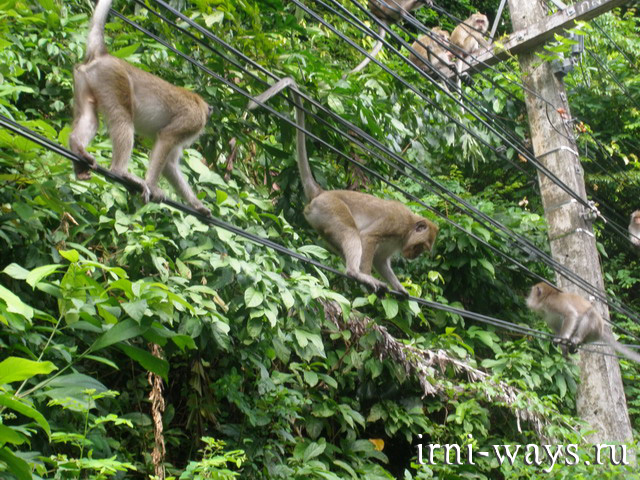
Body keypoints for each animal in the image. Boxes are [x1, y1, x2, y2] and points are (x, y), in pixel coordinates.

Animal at [69, 0, 211, 216]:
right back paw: (120, 171)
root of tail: (104, 55)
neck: (199, 104)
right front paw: (152, 186)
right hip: (113, 78)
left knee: (89, 116)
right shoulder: (192, 120)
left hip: (86, 79)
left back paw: (77, 148)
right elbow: (166, 138)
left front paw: (197, 205)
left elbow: (170, 165)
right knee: (123, 119)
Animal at [245, 78, 436, 296]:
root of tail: (321, 193)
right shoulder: (396, 222)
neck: (408, 228)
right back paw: (356, 273)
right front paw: (367, 274)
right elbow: (368, 238)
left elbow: (381, 261)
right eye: (421, 246)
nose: (414, 255)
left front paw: (400, 288)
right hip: (330, 209)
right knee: (351, 233)